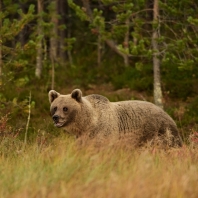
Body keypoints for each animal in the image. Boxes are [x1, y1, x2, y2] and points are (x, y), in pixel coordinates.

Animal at [48, 89, 182, 146]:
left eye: (65, 108)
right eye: (55, 107)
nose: (56, 117)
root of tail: (167, 114)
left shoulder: (104, 131)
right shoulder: (83, 137)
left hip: (159, 131)